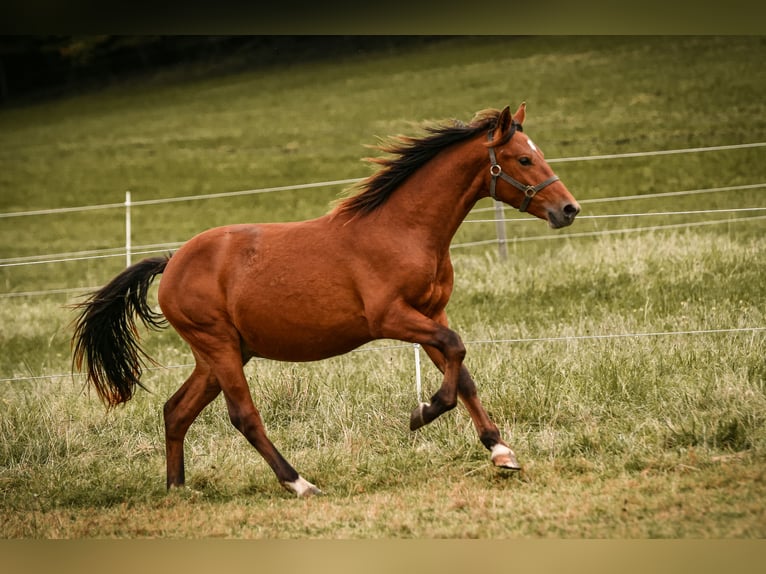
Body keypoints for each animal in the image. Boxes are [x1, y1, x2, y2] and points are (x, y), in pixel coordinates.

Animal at [72, 104, 580, 497]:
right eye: (523, 159)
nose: (569, 209)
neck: (404, 230)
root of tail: (172, 262)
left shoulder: (431, 313)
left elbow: (464, 373)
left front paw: (501, 452)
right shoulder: (391, 318)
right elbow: (456, 350)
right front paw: (422, 414)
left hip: (221, 353)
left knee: (176, 411)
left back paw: (178, 489)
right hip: (219, 347)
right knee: (243, 416)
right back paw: (299, 483)